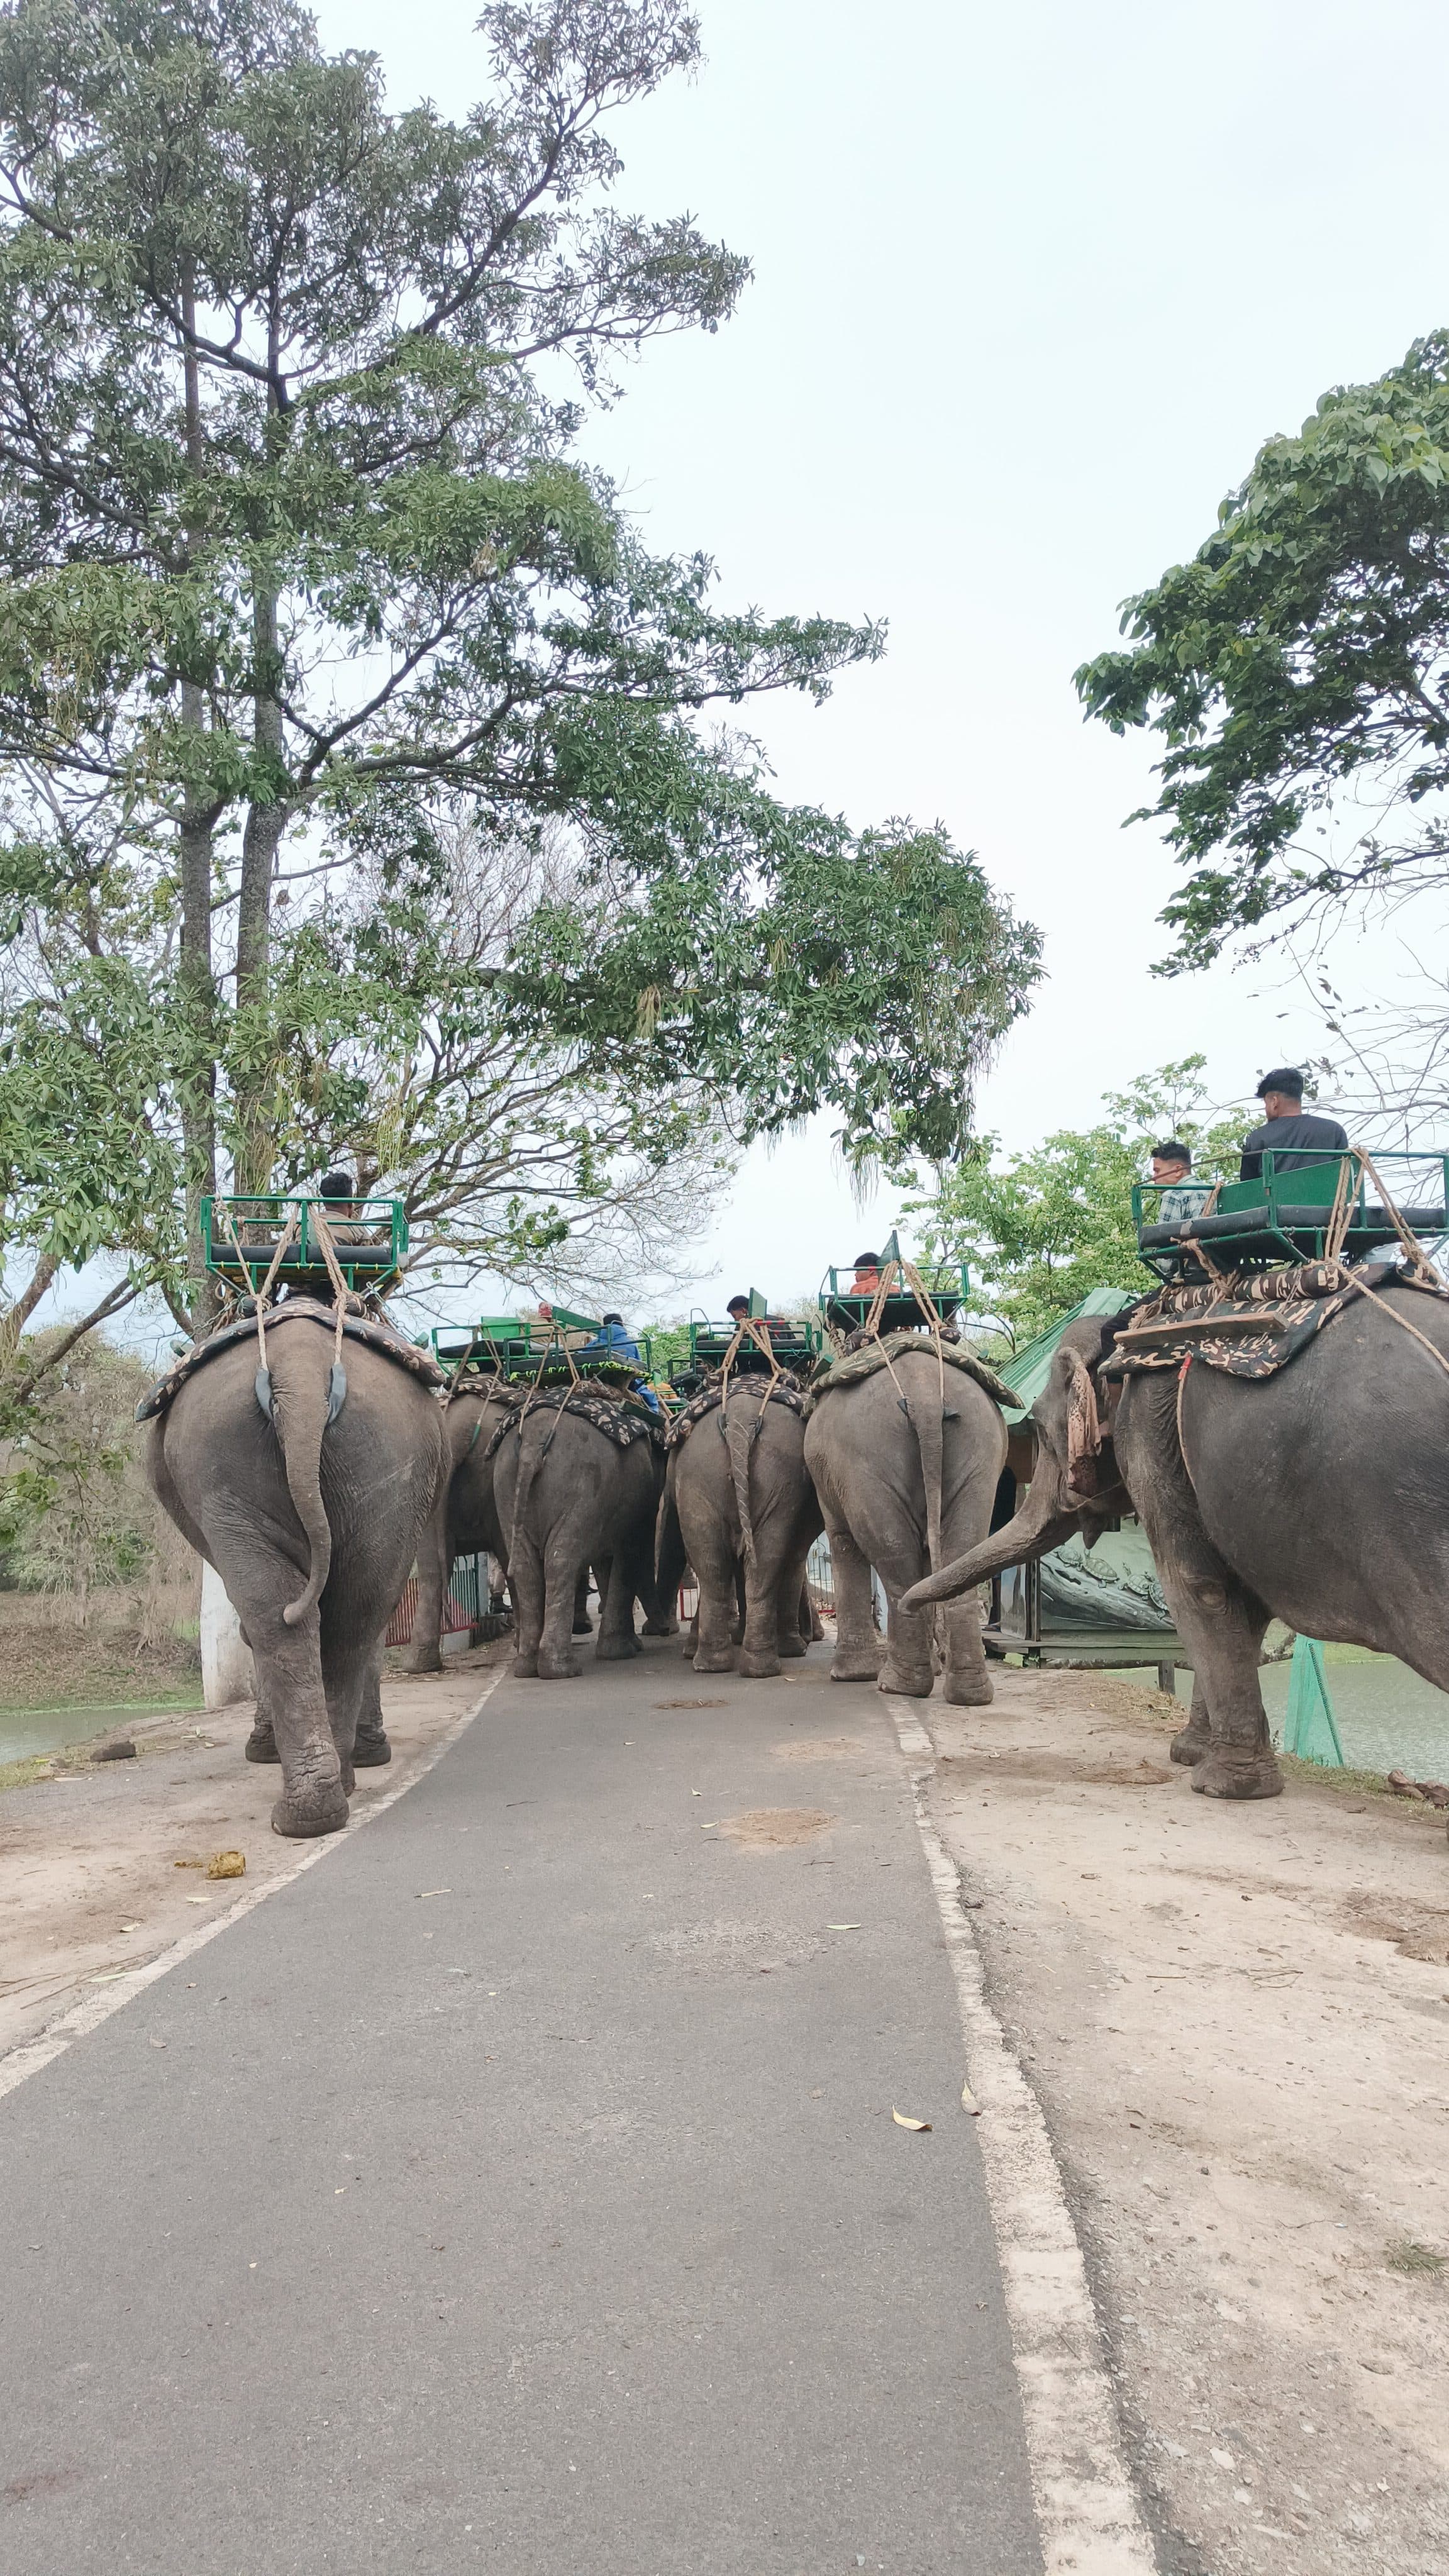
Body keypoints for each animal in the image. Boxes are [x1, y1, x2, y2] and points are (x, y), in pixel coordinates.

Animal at [146, 1316, 447, 1835]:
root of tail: (298, 1370)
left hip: (228, 1465)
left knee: (284, 1616)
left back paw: (311, 1807)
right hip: (381, 1463)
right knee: (347, 1617)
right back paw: (324, 1802)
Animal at [491, 1391, 669, 1680]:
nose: (664, 1631)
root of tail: (531, 1444)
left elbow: (609, 1561)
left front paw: (629, 1646)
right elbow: (628, 1555)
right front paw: (622, 1652)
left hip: (506, 1487)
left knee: (528, 1568)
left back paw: (527, 1668)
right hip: (582, 1485)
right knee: (562, 1561)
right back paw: (562, 1670)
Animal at [665, 1381, 822, 1678]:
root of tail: (740, 1421)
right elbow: (794, 1558)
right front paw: (797, 1647)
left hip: (700, 1477)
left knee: (715, 1564)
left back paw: (717, 1665)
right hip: (766, 1477)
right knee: (761, 1560)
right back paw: (765, 1662)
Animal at [802, 1343, 1007, 1703]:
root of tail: (925, 1397)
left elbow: (843, 1542)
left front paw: (849, 1676)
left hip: (867, 1458)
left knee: (893, 1555)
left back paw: (896, 1685)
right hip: (981, 1450)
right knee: (962, 1552)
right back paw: (968, 1694)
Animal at [900, 1284, 1449, 1812]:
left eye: (1036, 1426)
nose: (906, 1604)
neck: (1125, 1333)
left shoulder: (1151, 1437)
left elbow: (1199, 1587)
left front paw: (1222, 1785)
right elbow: (1241, 1610)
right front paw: (1190, 1753)